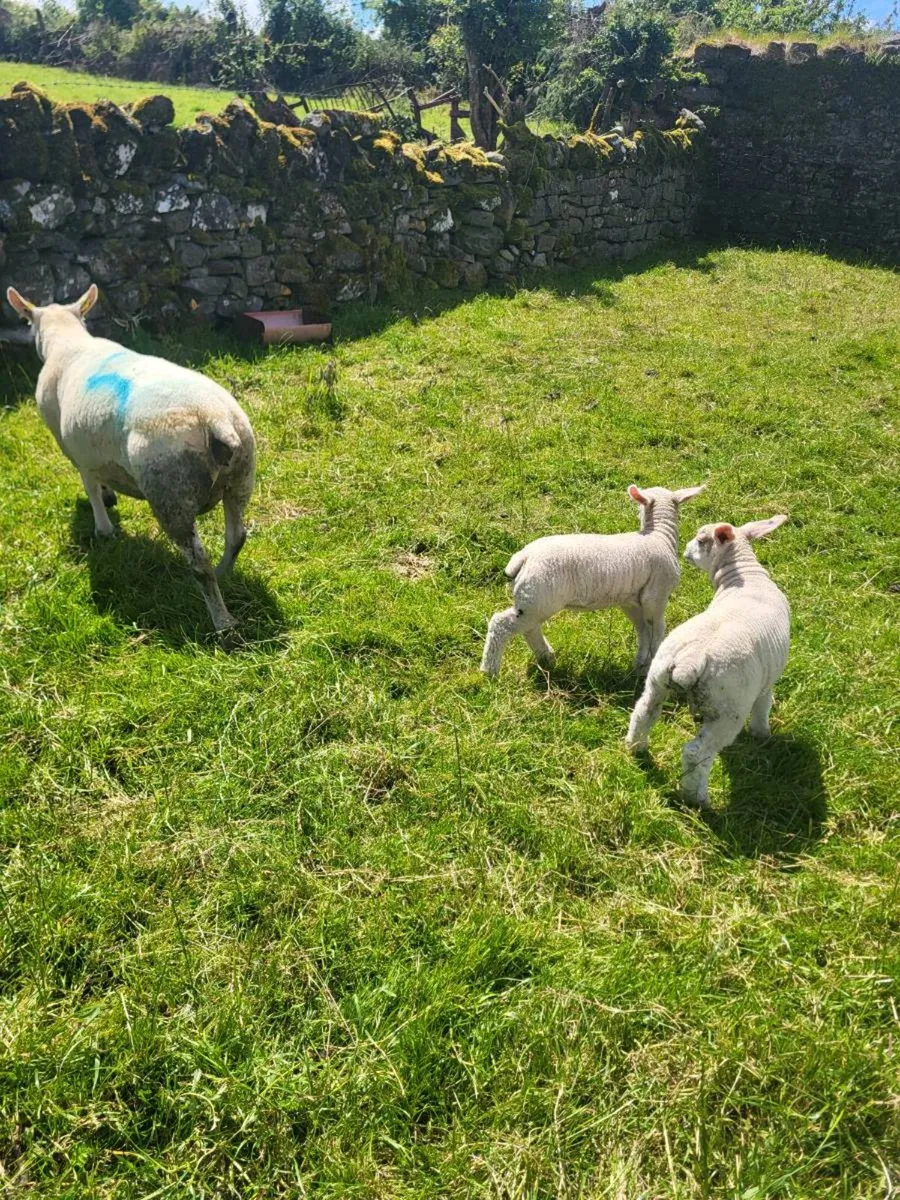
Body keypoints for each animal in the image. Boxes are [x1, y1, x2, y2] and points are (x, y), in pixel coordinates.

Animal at [7, 283, 256, 632]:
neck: (68, 342)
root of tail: (217, 422)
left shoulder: (77, 452)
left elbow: (91, 487)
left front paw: (103, 526)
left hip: (169, 491)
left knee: (199, 563)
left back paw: (222, 619)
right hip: (242, 475)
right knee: (236, 537)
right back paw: (225, 574)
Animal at [480, 484, 706, 678]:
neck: (659, 536)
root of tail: (523, 557)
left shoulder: (631, 600)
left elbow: (643, 630)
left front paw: (640, 664)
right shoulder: (656, 594)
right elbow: (657, 630)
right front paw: (650, 665)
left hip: (533, 598)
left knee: (529, 628)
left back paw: (547, 657)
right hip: (539, 597)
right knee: (502, 624)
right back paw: (489, 670)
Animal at [626, 514, 790, 808]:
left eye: (702, 540)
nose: (686, 550)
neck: (746, 576)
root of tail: (690, 661)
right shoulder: (766, 681)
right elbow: (763, 708)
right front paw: (763, 735)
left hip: (658, 679)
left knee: (643, 713)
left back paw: (636, 748)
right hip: (729, 708)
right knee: (697, 752)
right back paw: (698, 799)